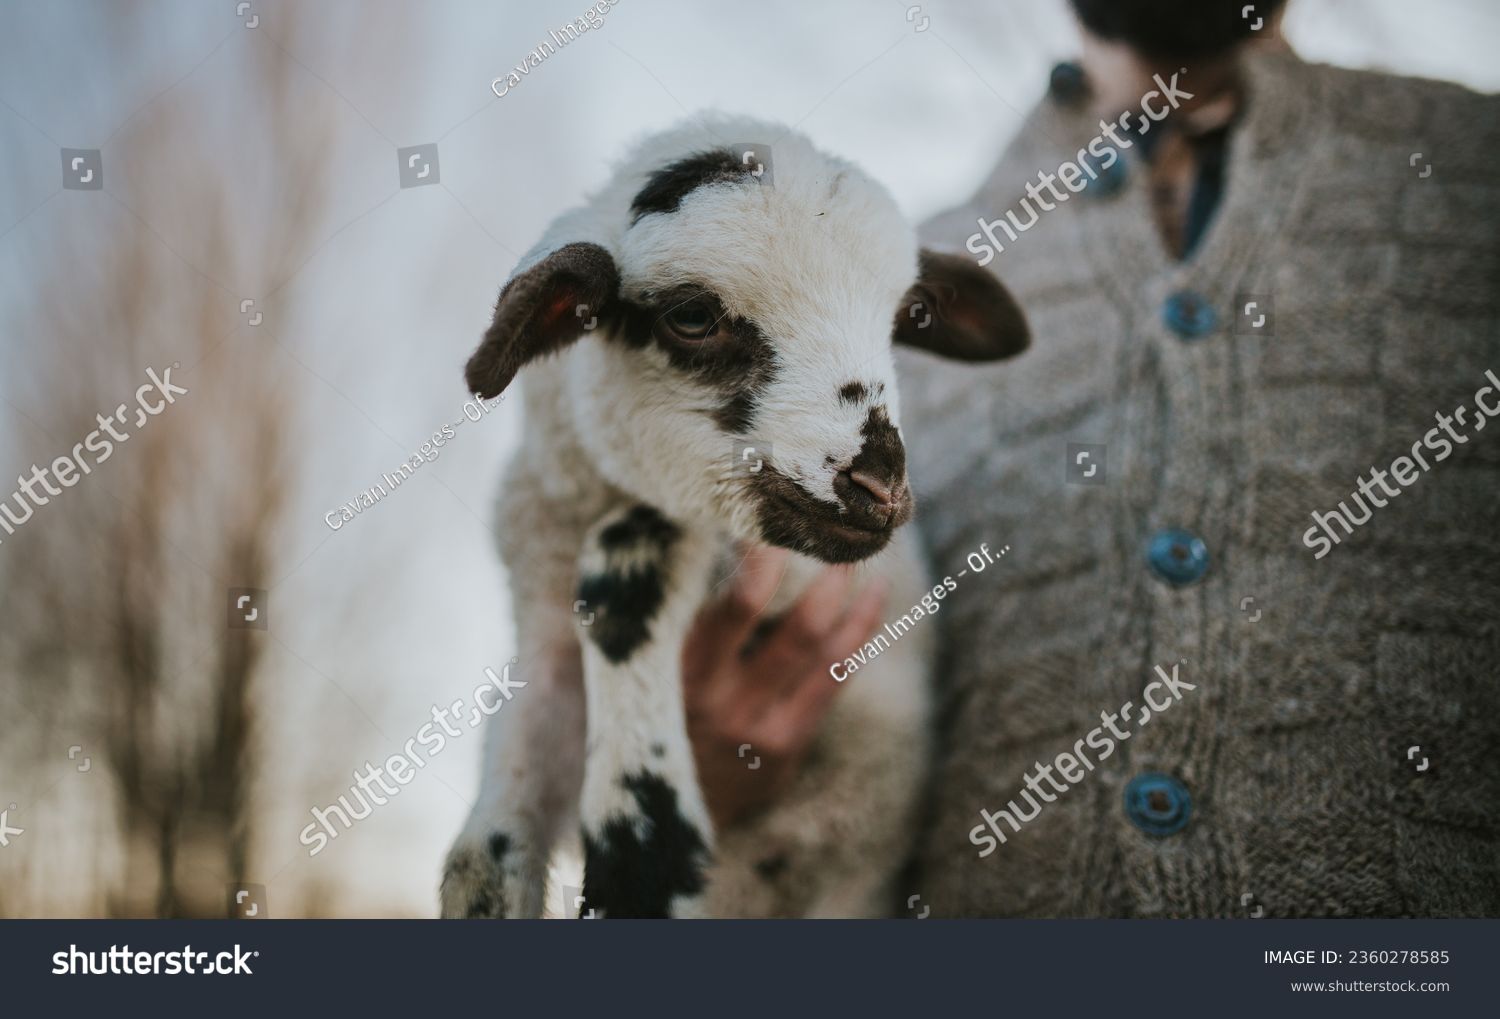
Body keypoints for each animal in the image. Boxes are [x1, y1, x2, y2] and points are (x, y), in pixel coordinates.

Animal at [438, 115, 1032, 918]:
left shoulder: (774, 564)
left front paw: (642, 851)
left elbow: (623, 569)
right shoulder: (544, 645)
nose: (879, 487)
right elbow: (480, 859)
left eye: (902, 320)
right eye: (692, 316)